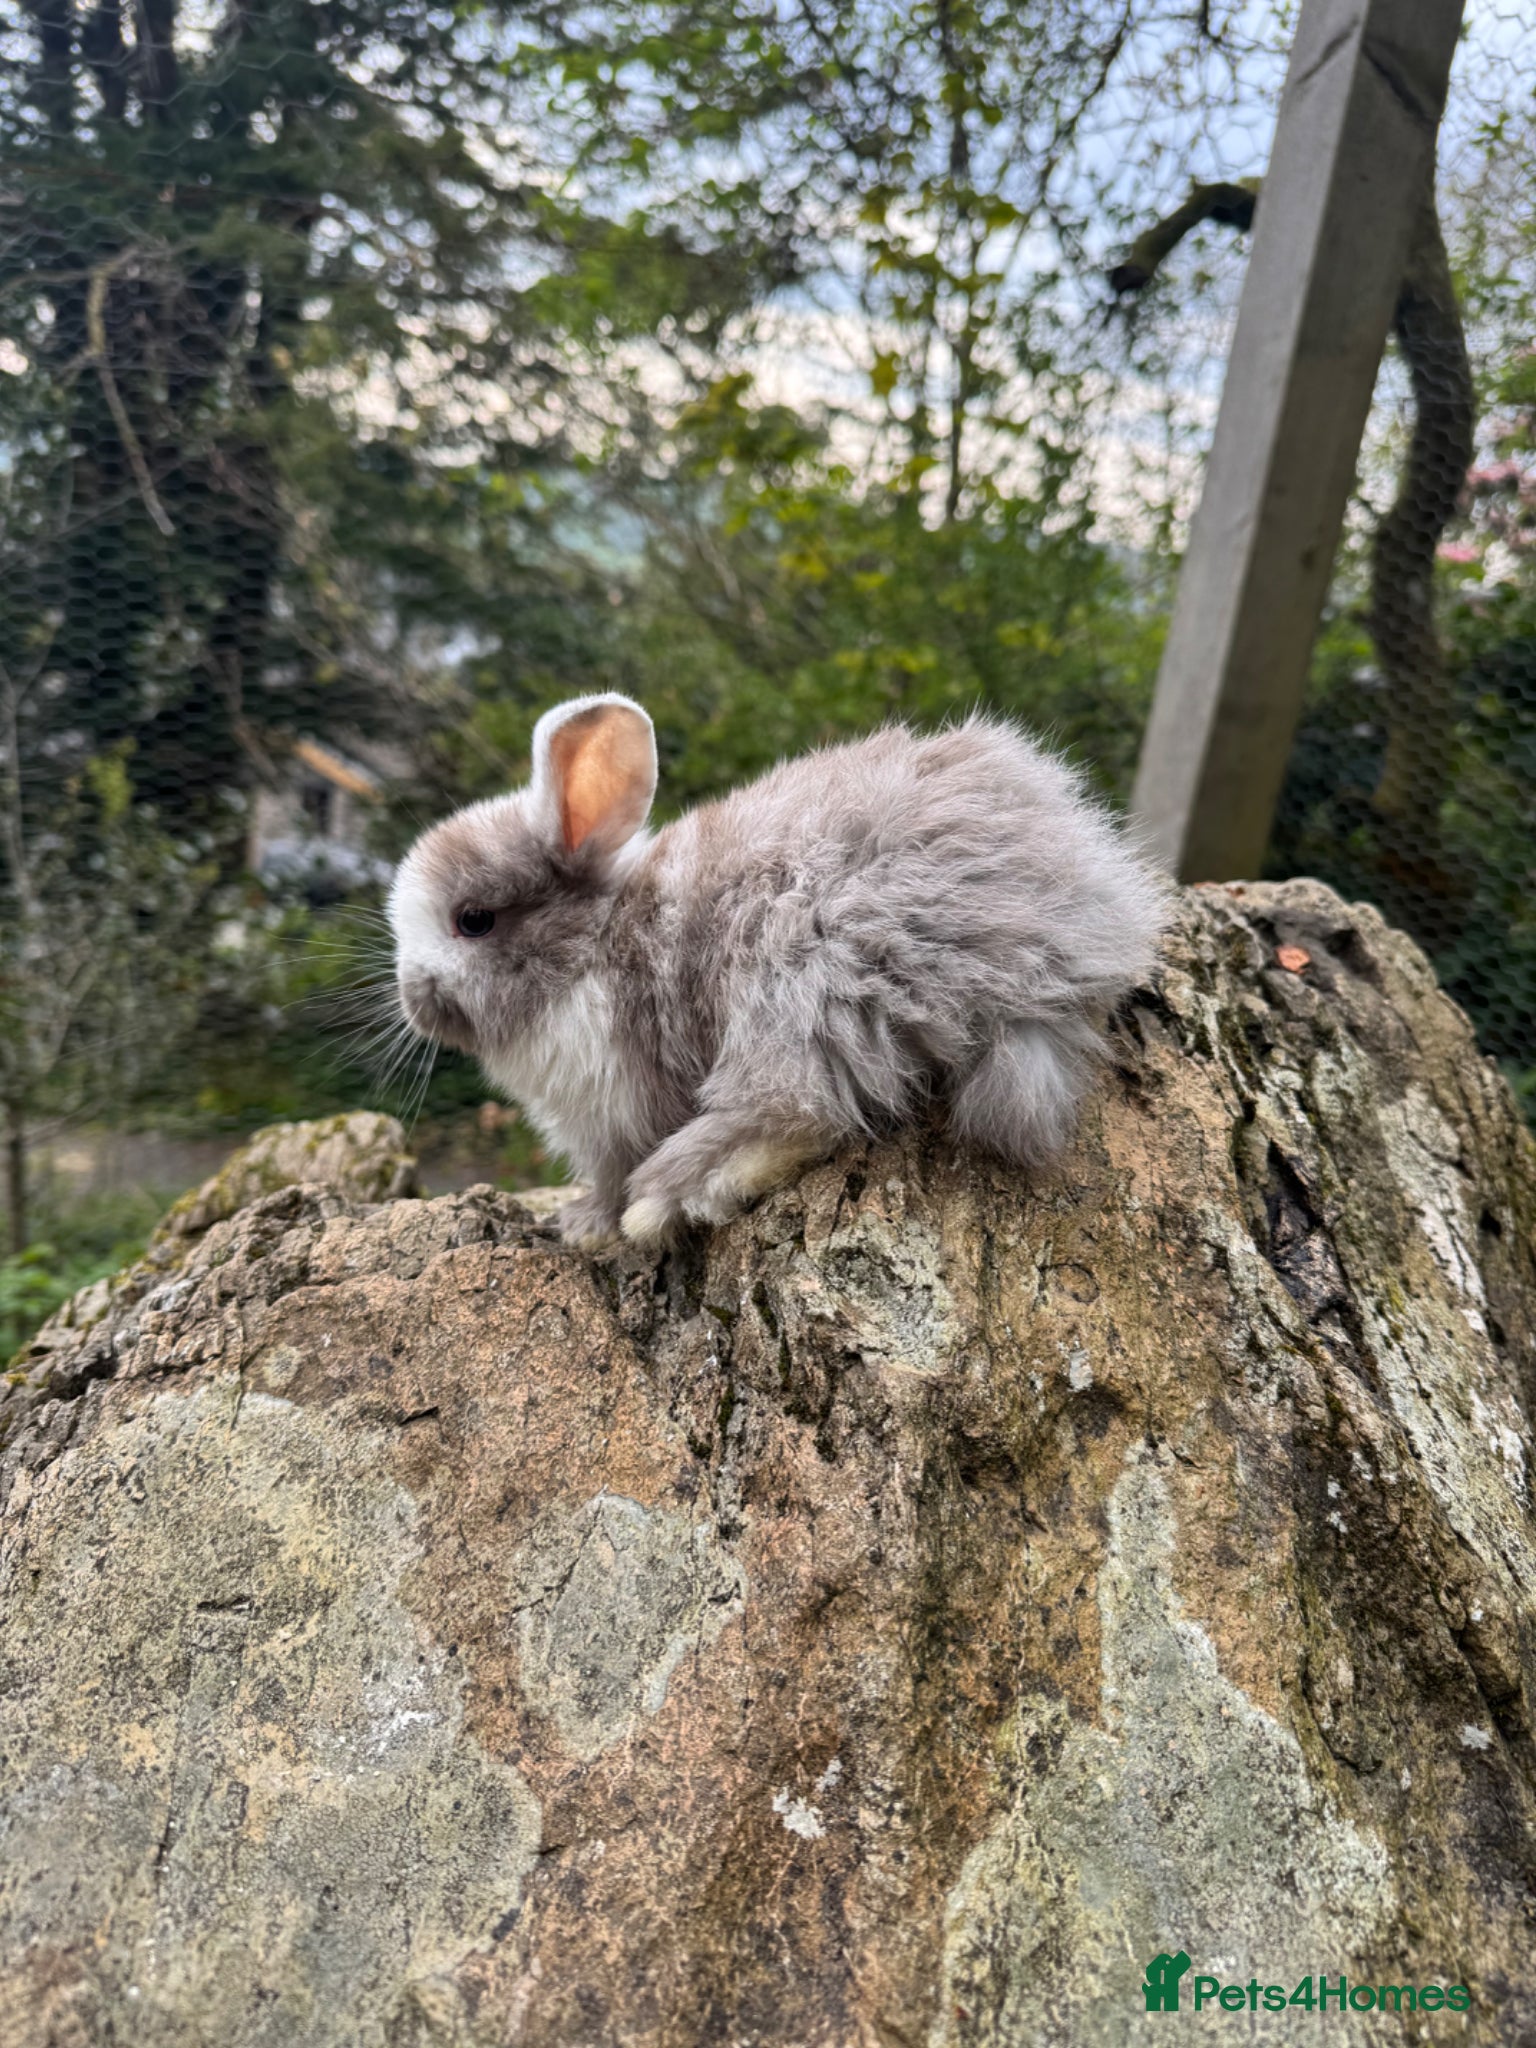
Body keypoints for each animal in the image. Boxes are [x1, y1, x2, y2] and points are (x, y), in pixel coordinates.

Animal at [388, 693, 1167, 1251]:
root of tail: (1053, 941)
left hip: (793, 978)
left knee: (796, 1110)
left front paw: (584, 1226)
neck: (591, 948)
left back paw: (669, 1198)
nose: (412, 998)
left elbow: (609, 1179)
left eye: (473, 920)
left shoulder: (613, 1114)